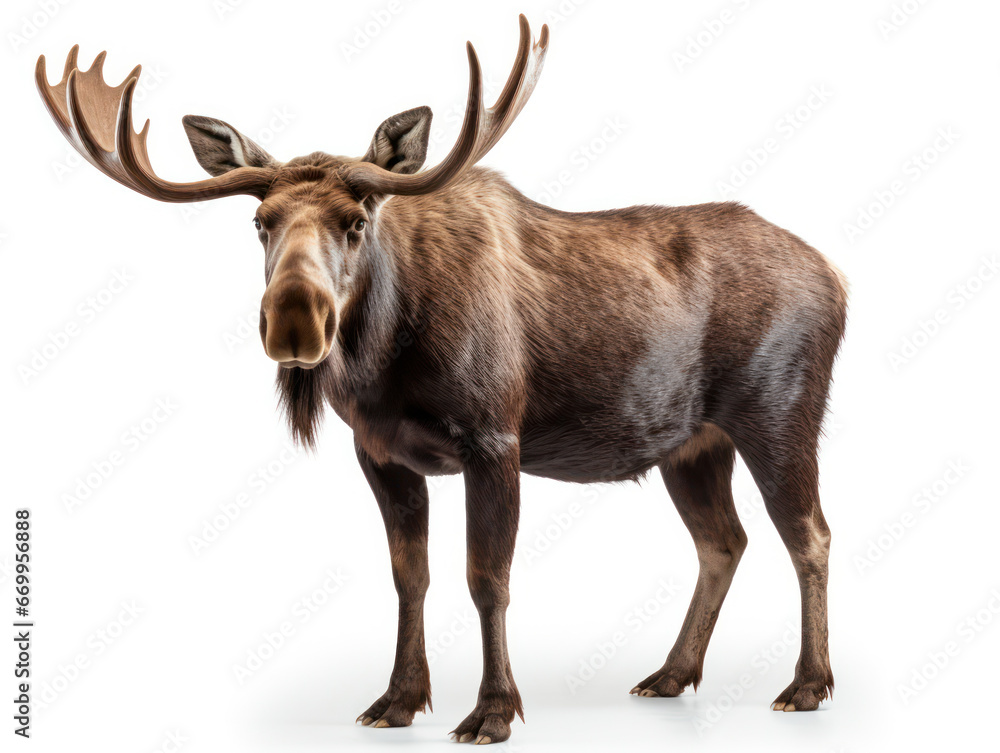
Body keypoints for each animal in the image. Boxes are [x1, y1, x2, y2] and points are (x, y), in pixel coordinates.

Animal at [36, 15, 847, 745]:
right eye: (261, 221)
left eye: (356, 219)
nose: (294, 323)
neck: (384, 364)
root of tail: (838, 277)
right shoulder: (381, 452)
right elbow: (410, 575)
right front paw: (398, 698)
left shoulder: (494, 439)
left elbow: (487, 577)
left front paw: (493, 711)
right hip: (692, 444)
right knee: (724, 541)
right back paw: (671, 674)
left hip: (780, 414)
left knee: (809, 533)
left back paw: (806, 685)